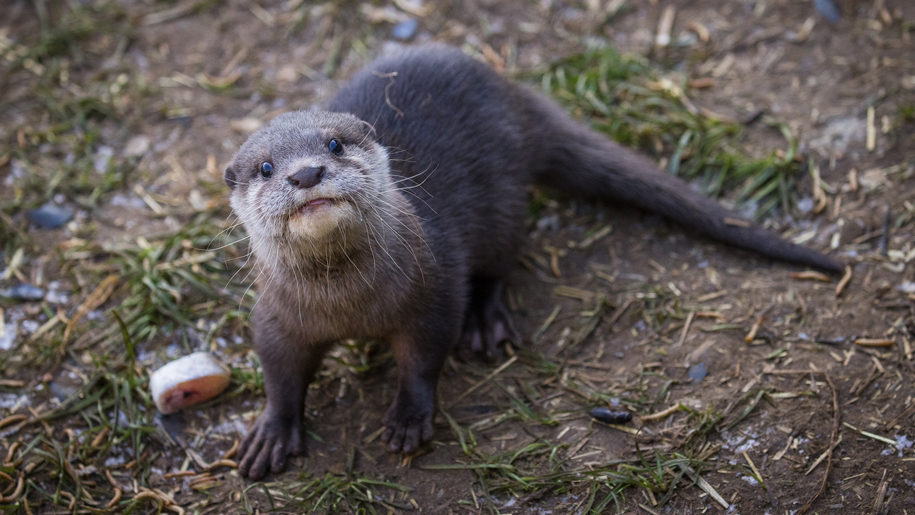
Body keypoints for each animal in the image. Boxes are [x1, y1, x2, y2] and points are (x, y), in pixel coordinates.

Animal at [224, 45, 841, 479]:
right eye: (265, 167)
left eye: (333, 145)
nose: (306, 174)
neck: (348, 306)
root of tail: (515, 95)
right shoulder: (276, 315)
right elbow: (278, 369)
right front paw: (271, 432)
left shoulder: (434, 286)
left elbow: (424, 355)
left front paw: (409, 415)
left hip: (501, 205)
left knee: (500, 260)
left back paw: (486, 321)